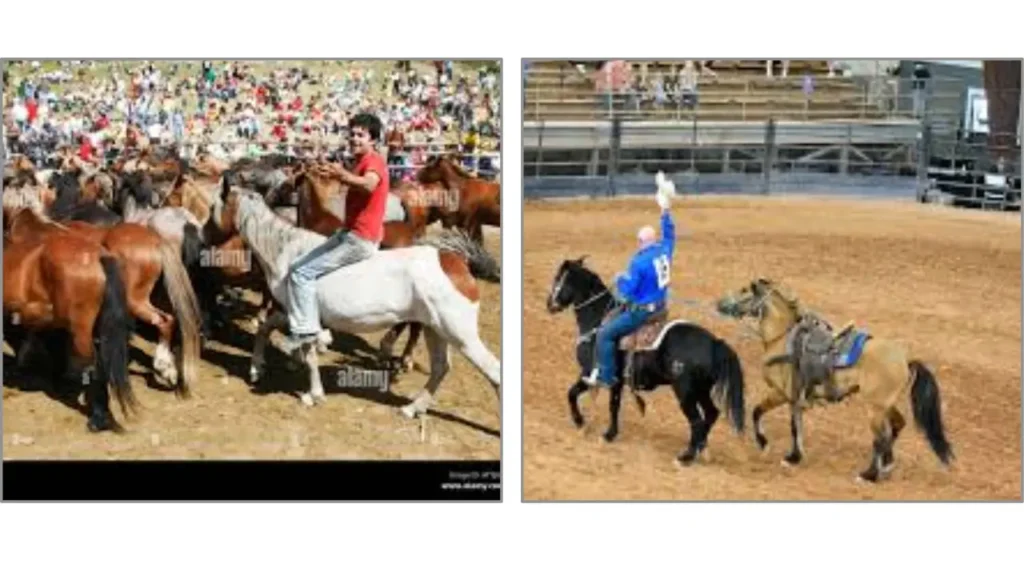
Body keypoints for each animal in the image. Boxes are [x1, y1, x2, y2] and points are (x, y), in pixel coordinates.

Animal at [209, 175, 501, 419]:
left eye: (213, 208)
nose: (205, 240)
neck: (288, 252)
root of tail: (456, 262)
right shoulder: (292, 312)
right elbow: (266, 330)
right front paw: (257, 369)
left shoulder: (300, 312)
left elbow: (306, 351)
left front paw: (313, 394)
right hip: (435, 329)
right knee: (441, 367)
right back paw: (411, 408)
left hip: (459, 333)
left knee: (492, 370)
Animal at [546, 256, 745, 465]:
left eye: (558, 278)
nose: (549, 304)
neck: (598, 319)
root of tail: (714, 342)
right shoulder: (616, 381)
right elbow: (612, 404)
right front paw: (607, 433)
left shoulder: (590, 372)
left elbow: (575, 394)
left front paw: (584, 424)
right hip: (701, 390)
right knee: (711, 413)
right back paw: (702, 449)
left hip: (685, 391)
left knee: (697, 421)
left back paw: (686, 457)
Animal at [715, 278, 954, 482]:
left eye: (744, 291)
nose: (720, 304)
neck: (782, 340)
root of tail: (904, 360)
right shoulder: (795, 398)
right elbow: (795, 425)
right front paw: (794, 456)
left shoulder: (782, 394)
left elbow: (761, 413)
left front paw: (767, 445)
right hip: (885, 405)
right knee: (897, 426)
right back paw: (886, 466)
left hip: (875, 409)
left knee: (881, 438)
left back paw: (869, 475)